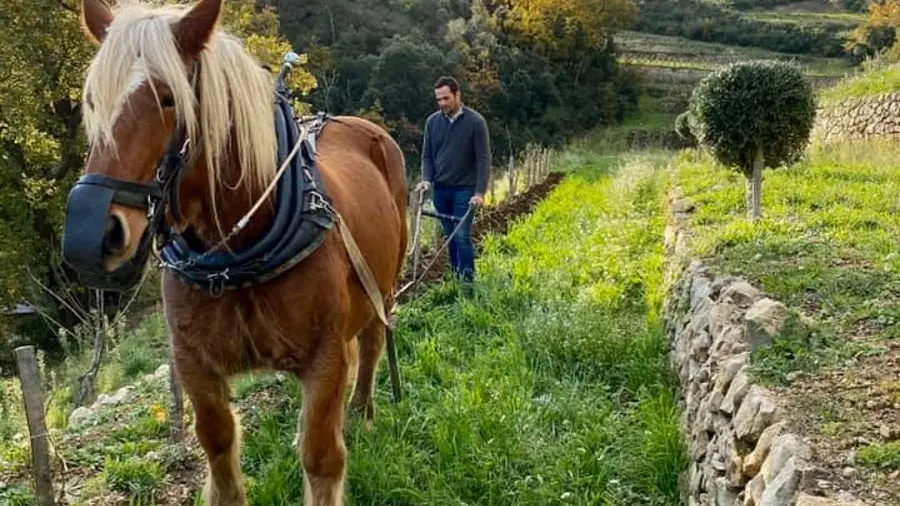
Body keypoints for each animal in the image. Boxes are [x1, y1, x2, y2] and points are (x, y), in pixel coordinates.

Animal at [61, 0, 409, 504]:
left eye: (168, 97)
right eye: (91, 100)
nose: (87, 236)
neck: (236, 259)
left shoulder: (324, 357)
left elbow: (321, 455)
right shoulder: (192, 363)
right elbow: (218, 446)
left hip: (382, 287)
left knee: (373, 342)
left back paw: (361, 413)